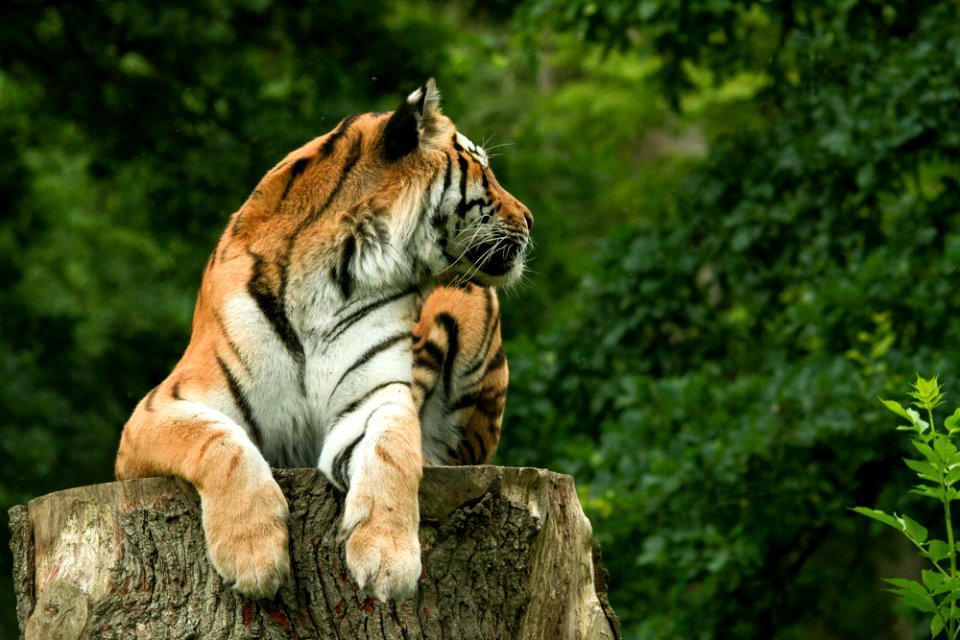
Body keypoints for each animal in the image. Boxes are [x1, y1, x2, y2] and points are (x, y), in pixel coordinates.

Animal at [114, 77, 532, 604]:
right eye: (483, 170)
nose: (531, 219)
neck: (338, 276)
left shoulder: (376, 398)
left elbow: (392, 451)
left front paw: (387, 559)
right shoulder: (157, 410)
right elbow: (219, 442)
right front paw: (253, 555)